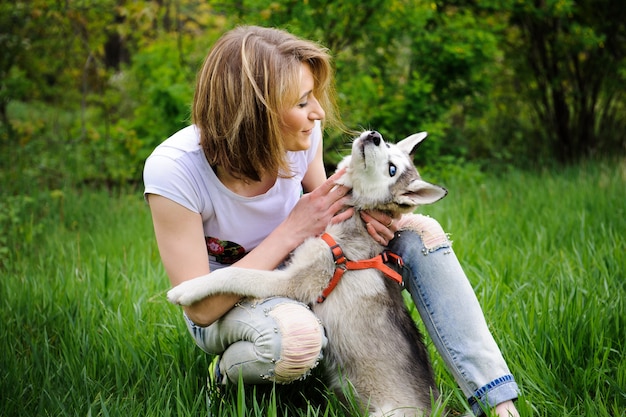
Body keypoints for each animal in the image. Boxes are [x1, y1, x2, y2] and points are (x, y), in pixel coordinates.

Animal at [168, 131, 446, 416]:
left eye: (392, 169)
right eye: (388, 145)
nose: (374, 136)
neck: (353, 211)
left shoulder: (295, 281)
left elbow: (239, 275)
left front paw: (188, 288)